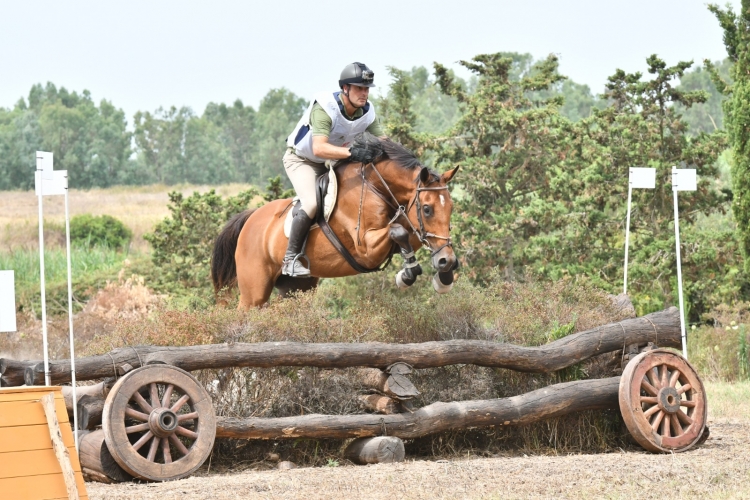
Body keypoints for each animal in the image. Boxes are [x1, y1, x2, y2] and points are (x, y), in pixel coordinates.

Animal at [210, 137, 458, 308]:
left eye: (451, 208)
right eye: (427, 209)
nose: (446, 260)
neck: (376, 187)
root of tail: (250, 218)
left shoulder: (410, 230)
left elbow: (410, 235)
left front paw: (444, 274)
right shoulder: (366, 248)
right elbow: (398, 231)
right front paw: (407, 275)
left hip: (297, 289)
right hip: (254, 293)